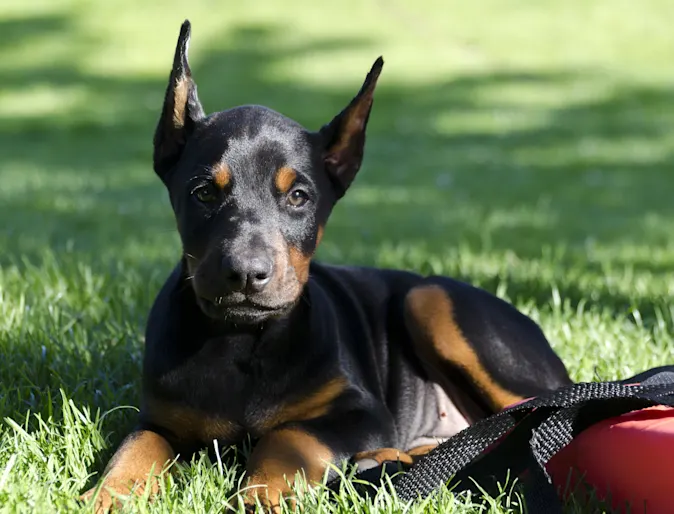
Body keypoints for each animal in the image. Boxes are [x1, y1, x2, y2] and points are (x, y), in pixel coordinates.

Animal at [81, 19, 568, 508]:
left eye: (299, 196)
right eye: (203, 193)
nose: (246, 273)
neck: (241, 342)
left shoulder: (362, 412)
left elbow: (288, 435)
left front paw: (260, 496)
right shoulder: (160, 416)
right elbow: (137, 446)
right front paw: (110, 495)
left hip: (430, 299)